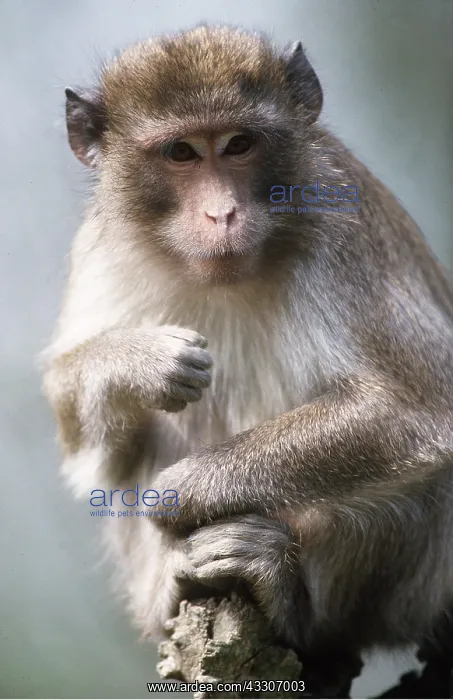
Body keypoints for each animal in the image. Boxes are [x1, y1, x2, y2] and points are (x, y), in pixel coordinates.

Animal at [41, 24, 453, 697]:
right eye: (181, 153)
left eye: (238, 144)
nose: (222, 213)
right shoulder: (100, 248)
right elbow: (88, 449)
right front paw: (135, 362)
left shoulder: (342, 219)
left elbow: (417, 409)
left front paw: (176, 494)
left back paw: (289, 600)